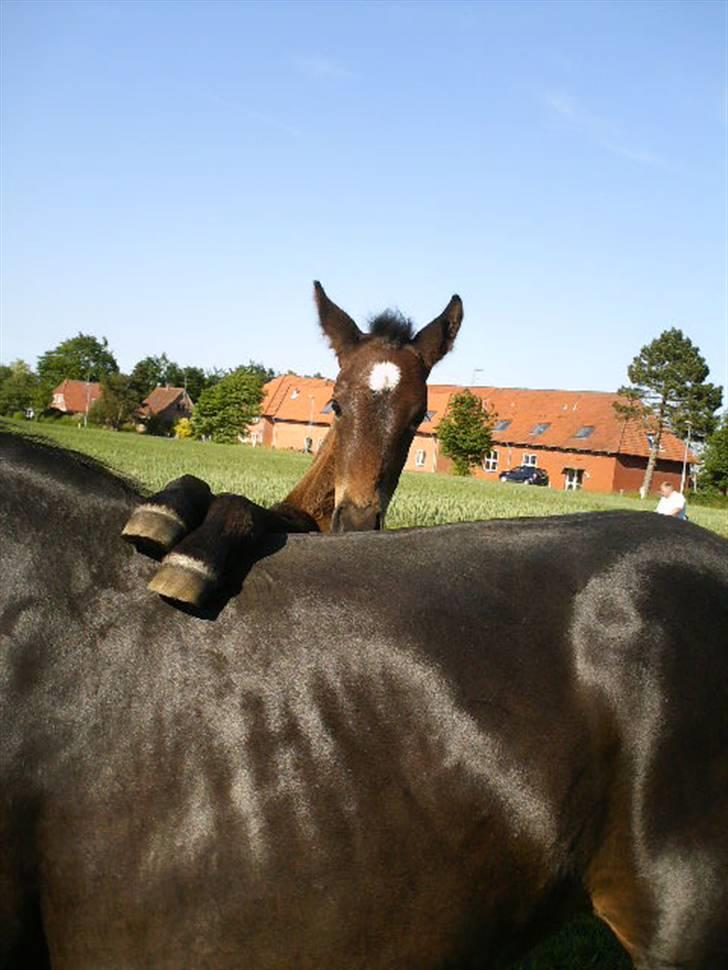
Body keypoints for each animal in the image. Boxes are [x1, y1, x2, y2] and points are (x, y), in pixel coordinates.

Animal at [119, 282, 460, 604]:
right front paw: (162, 510)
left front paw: (193, 559)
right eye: (335, 405)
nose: (356, 524)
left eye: (418, 417)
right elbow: (197, 482)